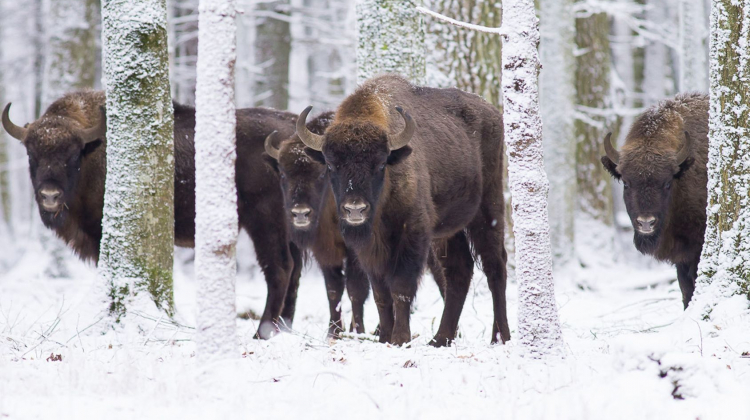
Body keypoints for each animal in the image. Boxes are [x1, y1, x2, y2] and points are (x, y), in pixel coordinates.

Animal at [3, 92, 302, 338]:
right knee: (295, 271)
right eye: (31, 154)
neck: (93, 149)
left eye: (73, 155)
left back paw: (261, 334)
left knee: (279, 269)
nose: (50, 196)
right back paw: (284, 329)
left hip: (265, 221)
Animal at [296, 74, 508, 346]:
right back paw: (440, 339)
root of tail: (493, 114)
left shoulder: (413, 235)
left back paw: (500, 337)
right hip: (448, 231)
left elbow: (401, 287)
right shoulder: (369, 250)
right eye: (331, 165)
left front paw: (400, 338)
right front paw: (385, 337)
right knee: (460, 270)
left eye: (380, 164)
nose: (355, 210)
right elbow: (380, 294)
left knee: (495, 266)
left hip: (488, 210)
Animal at [600, 92, 712, 308]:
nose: (646, 223)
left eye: (667, 183)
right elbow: (686, 290)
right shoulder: (681, 257)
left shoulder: (696, 249)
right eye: (626, 183)